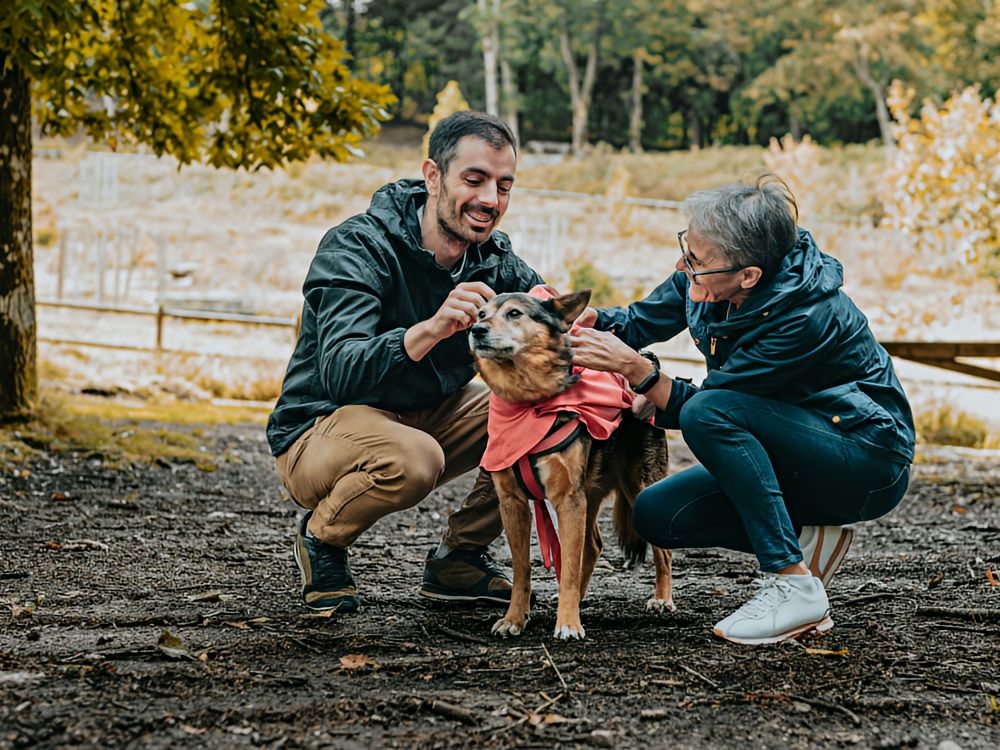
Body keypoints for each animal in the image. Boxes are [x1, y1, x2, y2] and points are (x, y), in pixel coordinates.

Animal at [466, 288, 672, 640]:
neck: (530, 404)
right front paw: (514, 618)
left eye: (514, 313)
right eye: (480, 314)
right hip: (590, 494)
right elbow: (522, 570)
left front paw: (568, 623)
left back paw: (662, 598)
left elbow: (570, 566)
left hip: (639, 486)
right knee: (592, 546)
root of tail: (646, 357)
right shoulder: (513, 502)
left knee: (663, 550)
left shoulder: (567, 500)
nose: (476, 331)